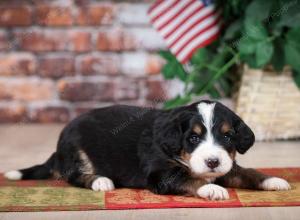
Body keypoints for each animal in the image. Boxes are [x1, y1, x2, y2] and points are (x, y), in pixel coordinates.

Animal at [4, 100, 290, 200]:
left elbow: (247, 172)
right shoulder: (160, 175)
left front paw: (274, 180)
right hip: (77, 149)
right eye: (193, 138)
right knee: (74, 176)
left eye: (228, 136)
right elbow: (189, 179)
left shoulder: (228, 166)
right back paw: (101, 181)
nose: (211, 162)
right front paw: (211, 189)